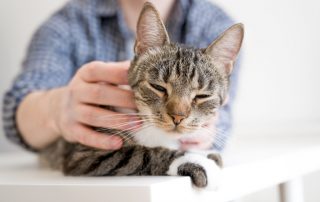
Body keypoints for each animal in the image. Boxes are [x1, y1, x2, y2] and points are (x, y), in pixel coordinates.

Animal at [40, 1, 245, 189]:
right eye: (158, 87)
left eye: (202, 96)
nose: (177, 117)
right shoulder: (85, 153)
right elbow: (142, 154)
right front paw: (195, 160)